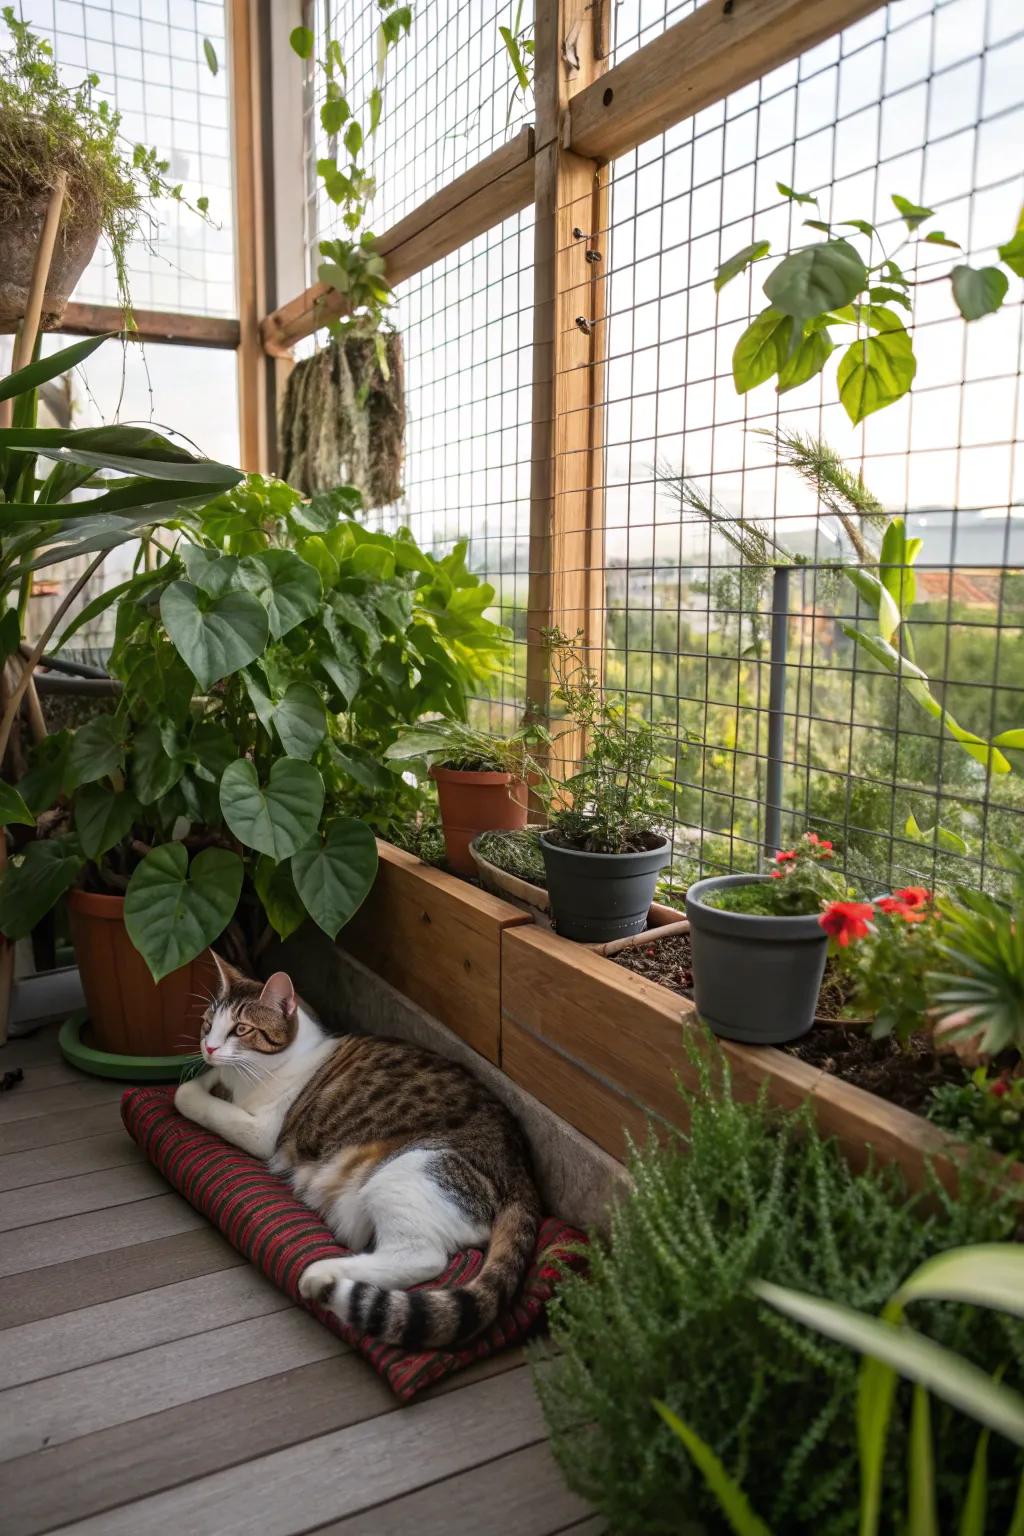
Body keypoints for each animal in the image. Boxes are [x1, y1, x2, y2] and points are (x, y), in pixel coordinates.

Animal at [174, 952, 543, 1351]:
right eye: (208, 1024)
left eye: (241, 1029)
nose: (209, 1048)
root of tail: (522, 1171)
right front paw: (206, 1075)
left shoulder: (262, 1131)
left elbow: (188, 1097)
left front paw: (193, 1090)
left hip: (407, 1172)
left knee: (423, 1257)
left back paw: (323, 1276)